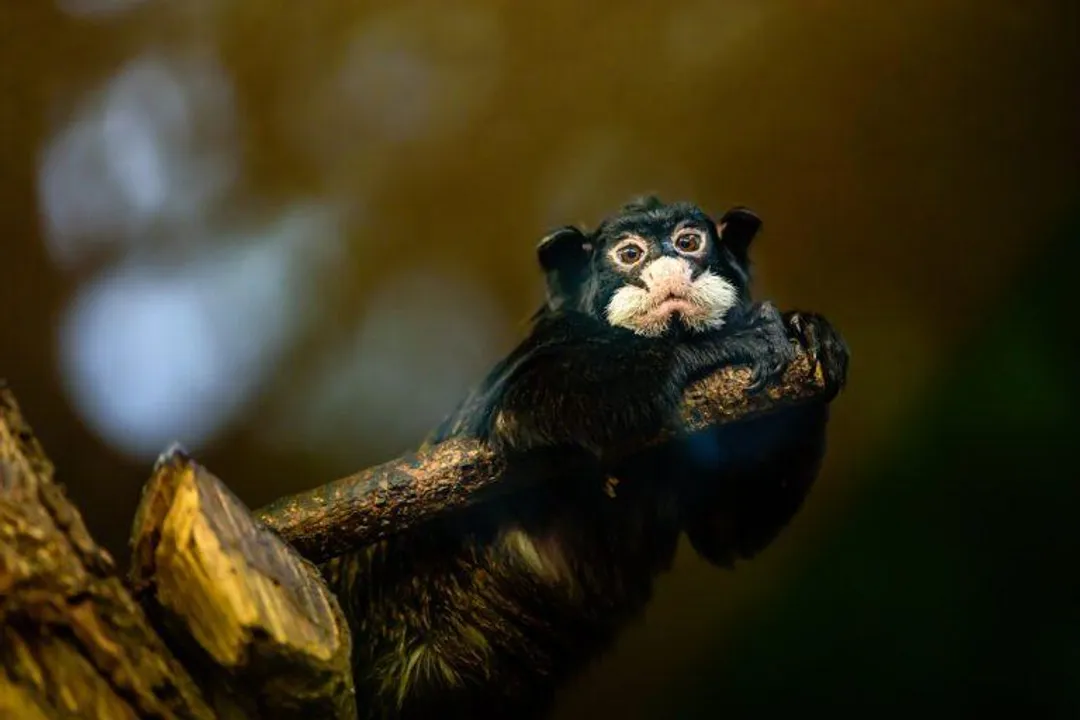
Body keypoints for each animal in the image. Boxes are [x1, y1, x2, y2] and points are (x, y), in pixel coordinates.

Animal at [321, 196, 849, 720]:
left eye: (689, 242)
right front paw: (721, 343)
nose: (669, 268)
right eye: (630, 254)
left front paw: (808, 332)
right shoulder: (552, 343)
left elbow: (728, 535)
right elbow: (525, 403)